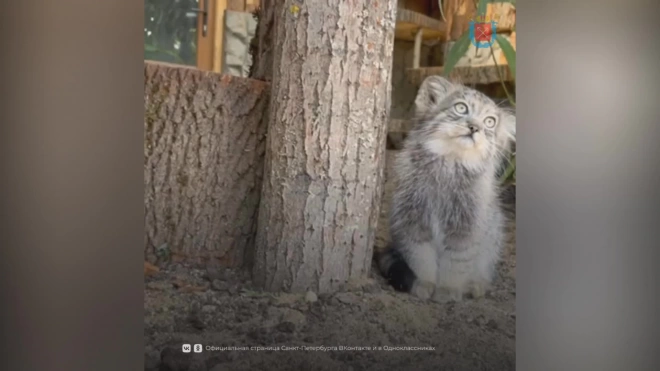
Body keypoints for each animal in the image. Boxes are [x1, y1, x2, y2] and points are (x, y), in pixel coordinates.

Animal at [382, 75, 516, 302]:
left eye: (490, 121)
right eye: (461, 108)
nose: (474, 127)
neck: (450, 163)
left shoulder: (466, 228)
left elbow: (456, 263)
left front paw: (448, 290)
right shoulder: (412, 220)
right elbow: (421, 258)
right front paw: (424, 284)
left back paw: (476, 284)